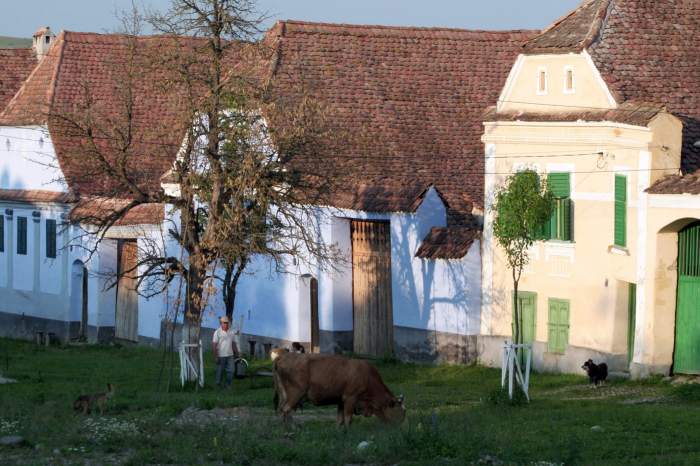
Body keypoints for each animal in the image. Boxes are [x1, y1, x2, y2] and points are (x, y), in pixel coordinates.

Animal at [274, 354, 404, 426]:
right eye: (401, 411)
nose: (401, 427)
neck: (366, 376)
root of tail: (281, 357)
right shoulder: (350, 398)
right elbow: (348, 419)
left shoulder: (340, 401)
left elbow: (340, 420)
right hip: (295, 394)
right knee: (286, 410)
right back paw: (291, 429)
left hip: (285, 395)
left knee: (282, 410)